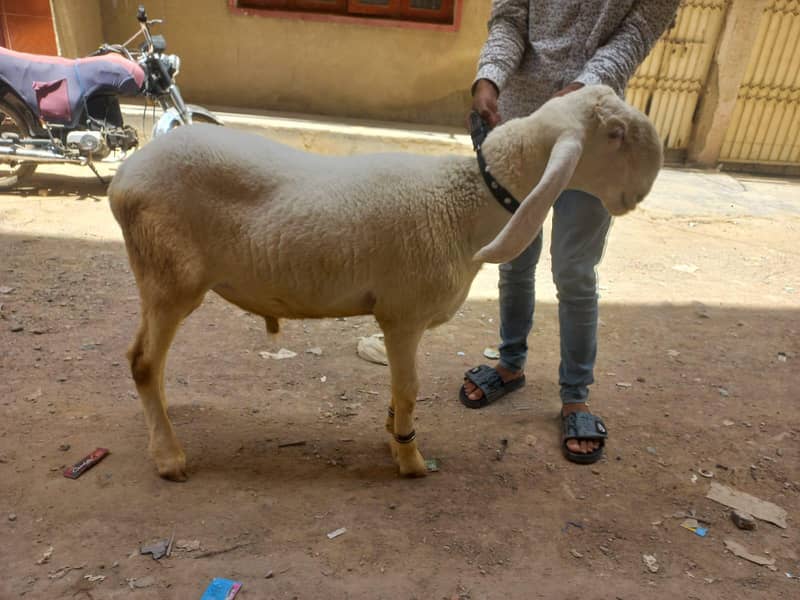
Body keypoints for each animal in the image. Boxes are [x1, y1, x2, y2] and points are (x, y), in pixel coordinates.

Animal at [108, 85, 662, 481]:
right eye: (614, 133)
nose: (645, 187)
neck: (465, 204)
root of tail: (122, 180)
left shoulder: (401, 318)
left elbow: (399, 389)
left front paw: (393, 434)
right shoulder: (403, 314)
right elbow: (411, 389)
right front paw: (410, 460)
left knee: (146, 361)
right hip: (169, 279)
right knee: (143, 362)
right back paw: (169, 457)